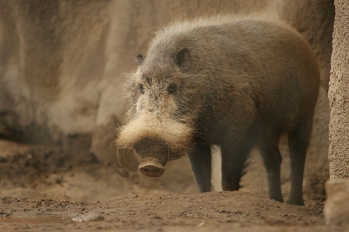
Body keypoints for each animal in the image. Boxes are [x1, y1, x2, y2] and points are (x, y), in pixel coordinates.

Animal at [117, 14, 318, 205]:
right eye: (142, 88)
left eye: (172, 87)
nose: (149, 166)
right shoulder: (196, 141)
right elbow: (201, 176)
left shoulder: (237, 132)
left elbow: (227, 175)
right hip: (268, 132)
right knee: (274, 160)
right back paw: (276, 200)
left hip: (306, 114)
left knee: (298, 156)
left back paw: (294, 203)